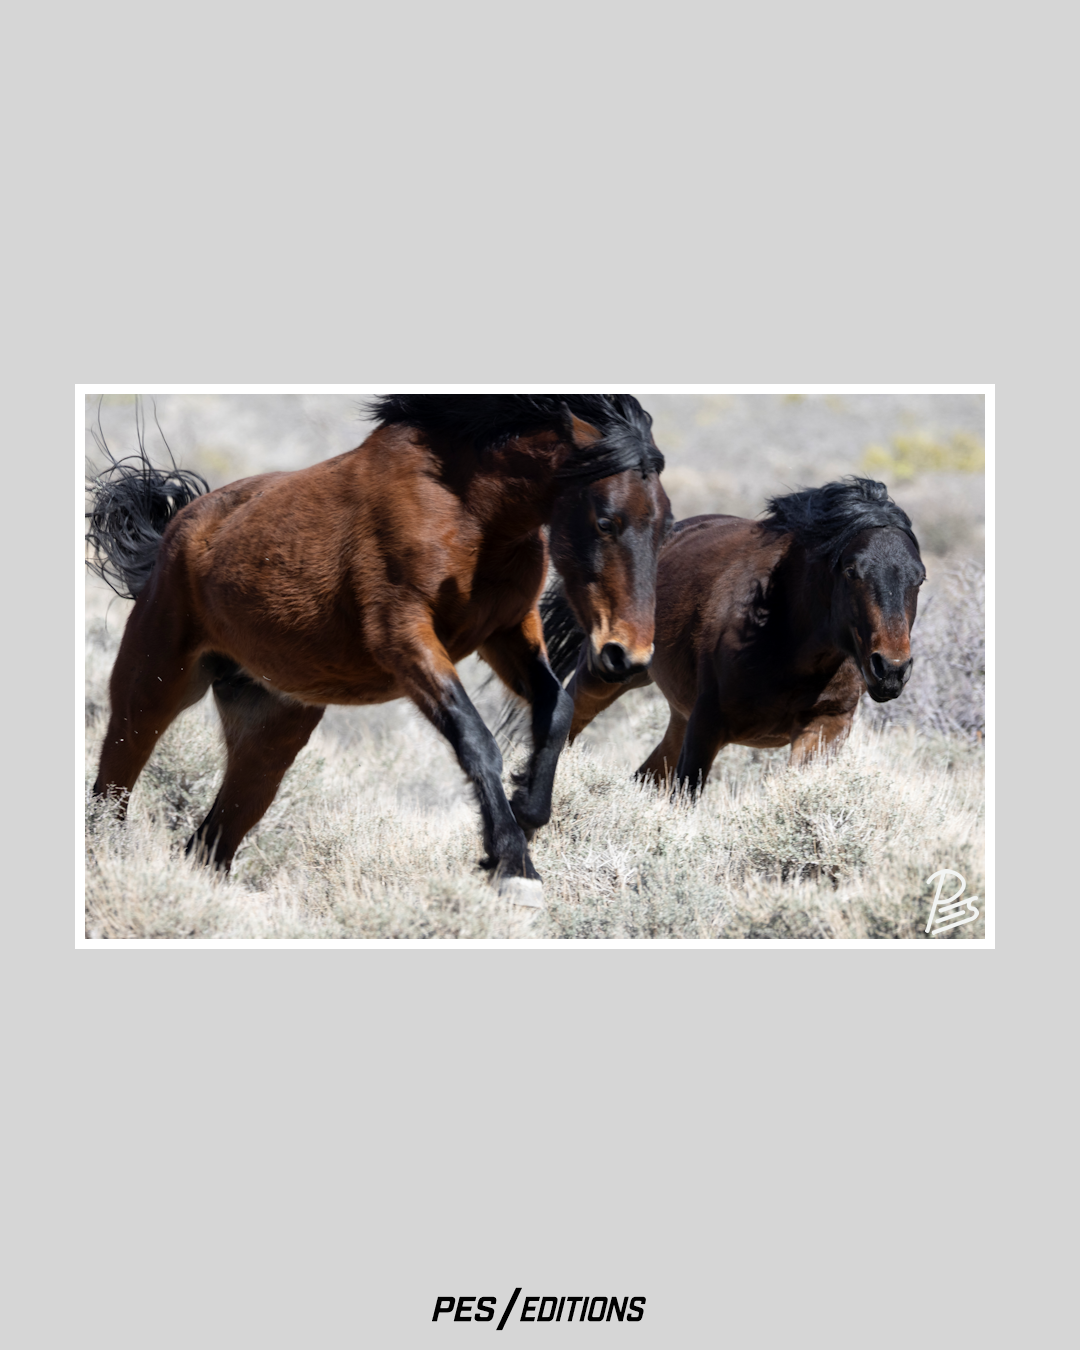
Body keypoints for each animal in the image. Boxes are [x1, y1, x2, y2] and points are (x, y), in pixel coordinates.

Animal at [87, 395, 672, 906]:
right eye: (606, 520)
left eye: (664, 524)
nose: (628, 655)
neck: (466, 510)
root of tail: (176, 531)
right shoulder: (403, 637)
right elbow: (476, 739)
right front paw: (512, 865)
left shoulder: (506, 633)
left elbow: (556, 711)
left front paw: (527, 808)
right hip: (152, 691)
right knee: (111, 793)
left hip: (269, 737)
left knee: (210, 845)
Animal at [540, 477, 925, 792]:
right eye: (850, 570)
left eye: (919, 577)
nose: (890, 670)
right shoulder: (707, 726)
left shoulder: (825, 728)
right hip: (608, 675)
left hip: (679, 715)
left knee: (645, 776)